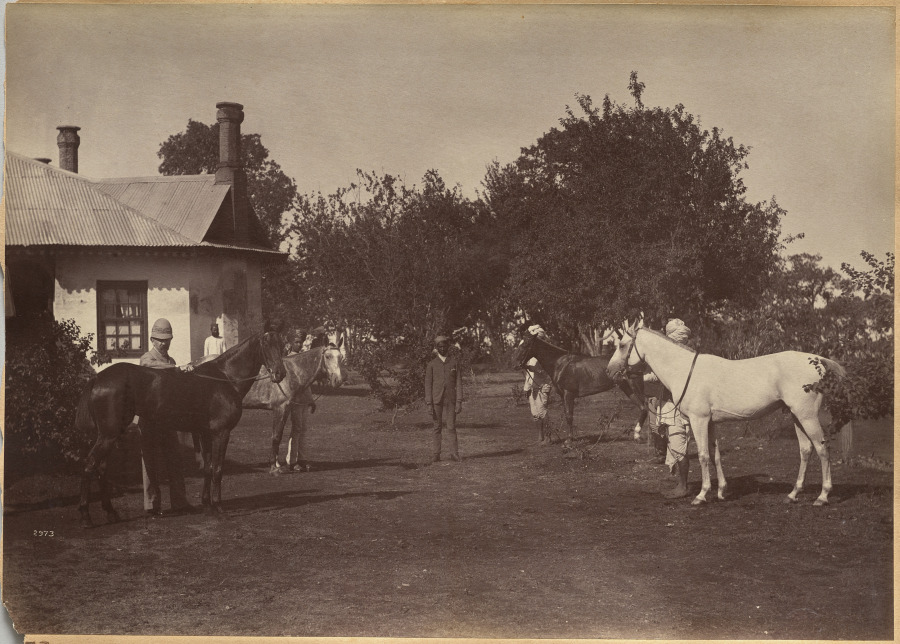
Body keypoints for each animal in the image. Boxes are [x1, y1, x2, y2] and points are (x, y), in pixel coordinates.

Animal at [76, 330, 286, 527]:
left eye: (282, 343)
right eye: (266, 344)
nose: (280, 374)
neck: (225, 378)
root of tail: (97, 378)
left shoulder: (206, 434)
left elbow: (208, 468)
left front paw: (207, 506)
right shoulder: (221, 433)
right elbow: (218, 469)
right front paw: (219, 509)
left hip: (108, 436)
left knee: (102, 468)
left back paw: (111, 513)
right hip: (108, 435)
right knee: (89, 465)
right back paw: (86, 517)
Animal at [516, 331, 648, 445]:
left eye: (526, 345)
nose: (516, 364)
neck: (560, 364)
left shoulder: (568, 394)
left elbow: (569, 416)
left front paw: (569, 440)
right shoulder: (563, 395)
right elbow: (567, 415)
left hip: (636, 388)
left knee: (645, 408)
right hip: (627, 388)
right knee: (642, 408)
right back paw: (638, 436)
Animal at [606, 320, 846, 506]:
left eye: (622, 344)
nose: (609, 372)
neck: (685, 370)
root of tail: (817, 360)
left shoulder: (699, 420)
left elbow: (703, 455)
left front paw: (702, 495)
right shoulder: (710, 422)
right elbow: (715, 455)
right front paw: (722, 491)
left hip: (807, 416)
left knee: (822, 449)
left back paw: (822, 496)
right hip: (796, 416)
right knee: (806, 450)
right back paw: (793, 494)